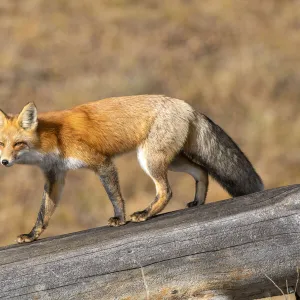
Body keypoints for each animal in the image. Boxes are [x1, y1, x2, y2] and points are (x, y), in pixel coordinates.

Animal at [0, 95, 262, 243]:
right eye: (2, 144)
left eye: (18, 144)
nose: (3, 162)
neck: (53, 137)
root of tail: (187, 105)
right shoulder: (55, 176)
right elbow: (43, 213)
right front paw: (32, 235)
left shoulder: (101, 162)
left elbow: (115, 196)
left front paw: (120, 218)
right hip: (172, 160)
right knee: (201, 172)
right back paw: (197, 201)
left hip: (149, 159)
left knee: (167, 191)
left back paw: (145, 213)